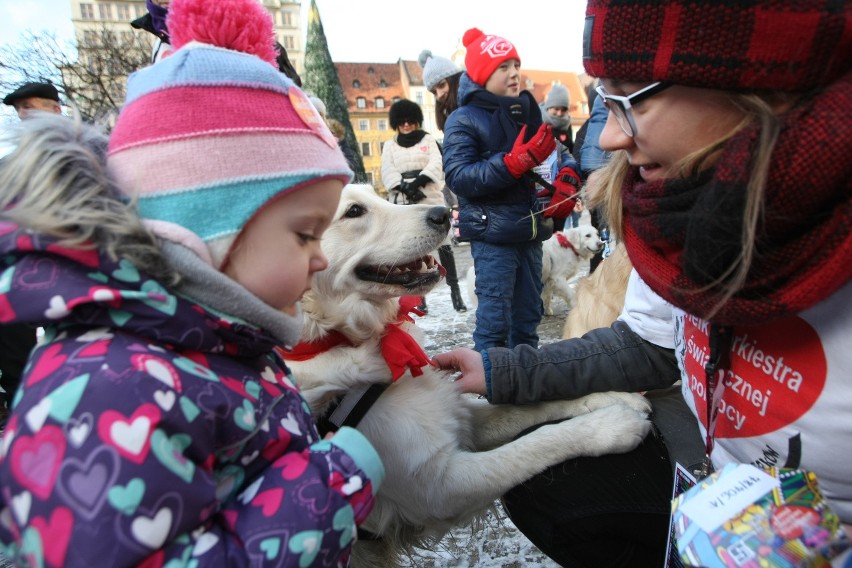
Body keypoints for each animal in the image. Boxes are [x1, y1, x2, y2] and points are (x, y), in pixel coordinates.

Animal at [286, 184, 652, 564]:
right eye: (354, 211)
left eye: (376, 195)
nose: (443, 214)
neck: (346, 338)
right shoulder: (438, 488)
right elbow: (536, 444)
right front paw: (611, 426)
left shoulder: (461, 415)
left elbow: (529, 408)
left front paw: (612, 397)